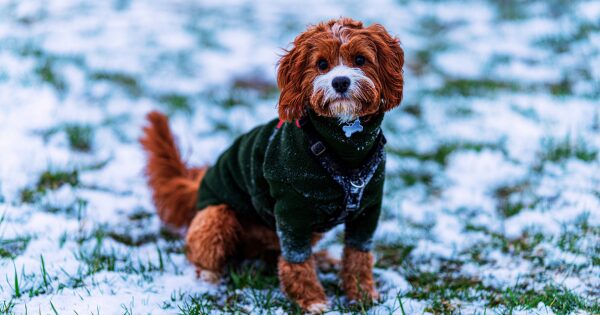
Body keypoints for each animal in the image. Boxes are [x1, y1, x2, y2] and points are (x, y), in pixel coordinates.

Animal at [140, 17, 404, 315]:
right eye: (322, 64)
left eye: (360, 59)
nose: (340, 81)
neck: (344, 145)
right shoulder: (292, 209)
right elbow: (297, 259)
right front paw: (311, 299)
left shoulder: (368, 208)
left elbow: (359, 254)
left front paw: (362, 294)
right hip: (215, 215)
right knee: (202, 252)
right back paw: (208, 276)